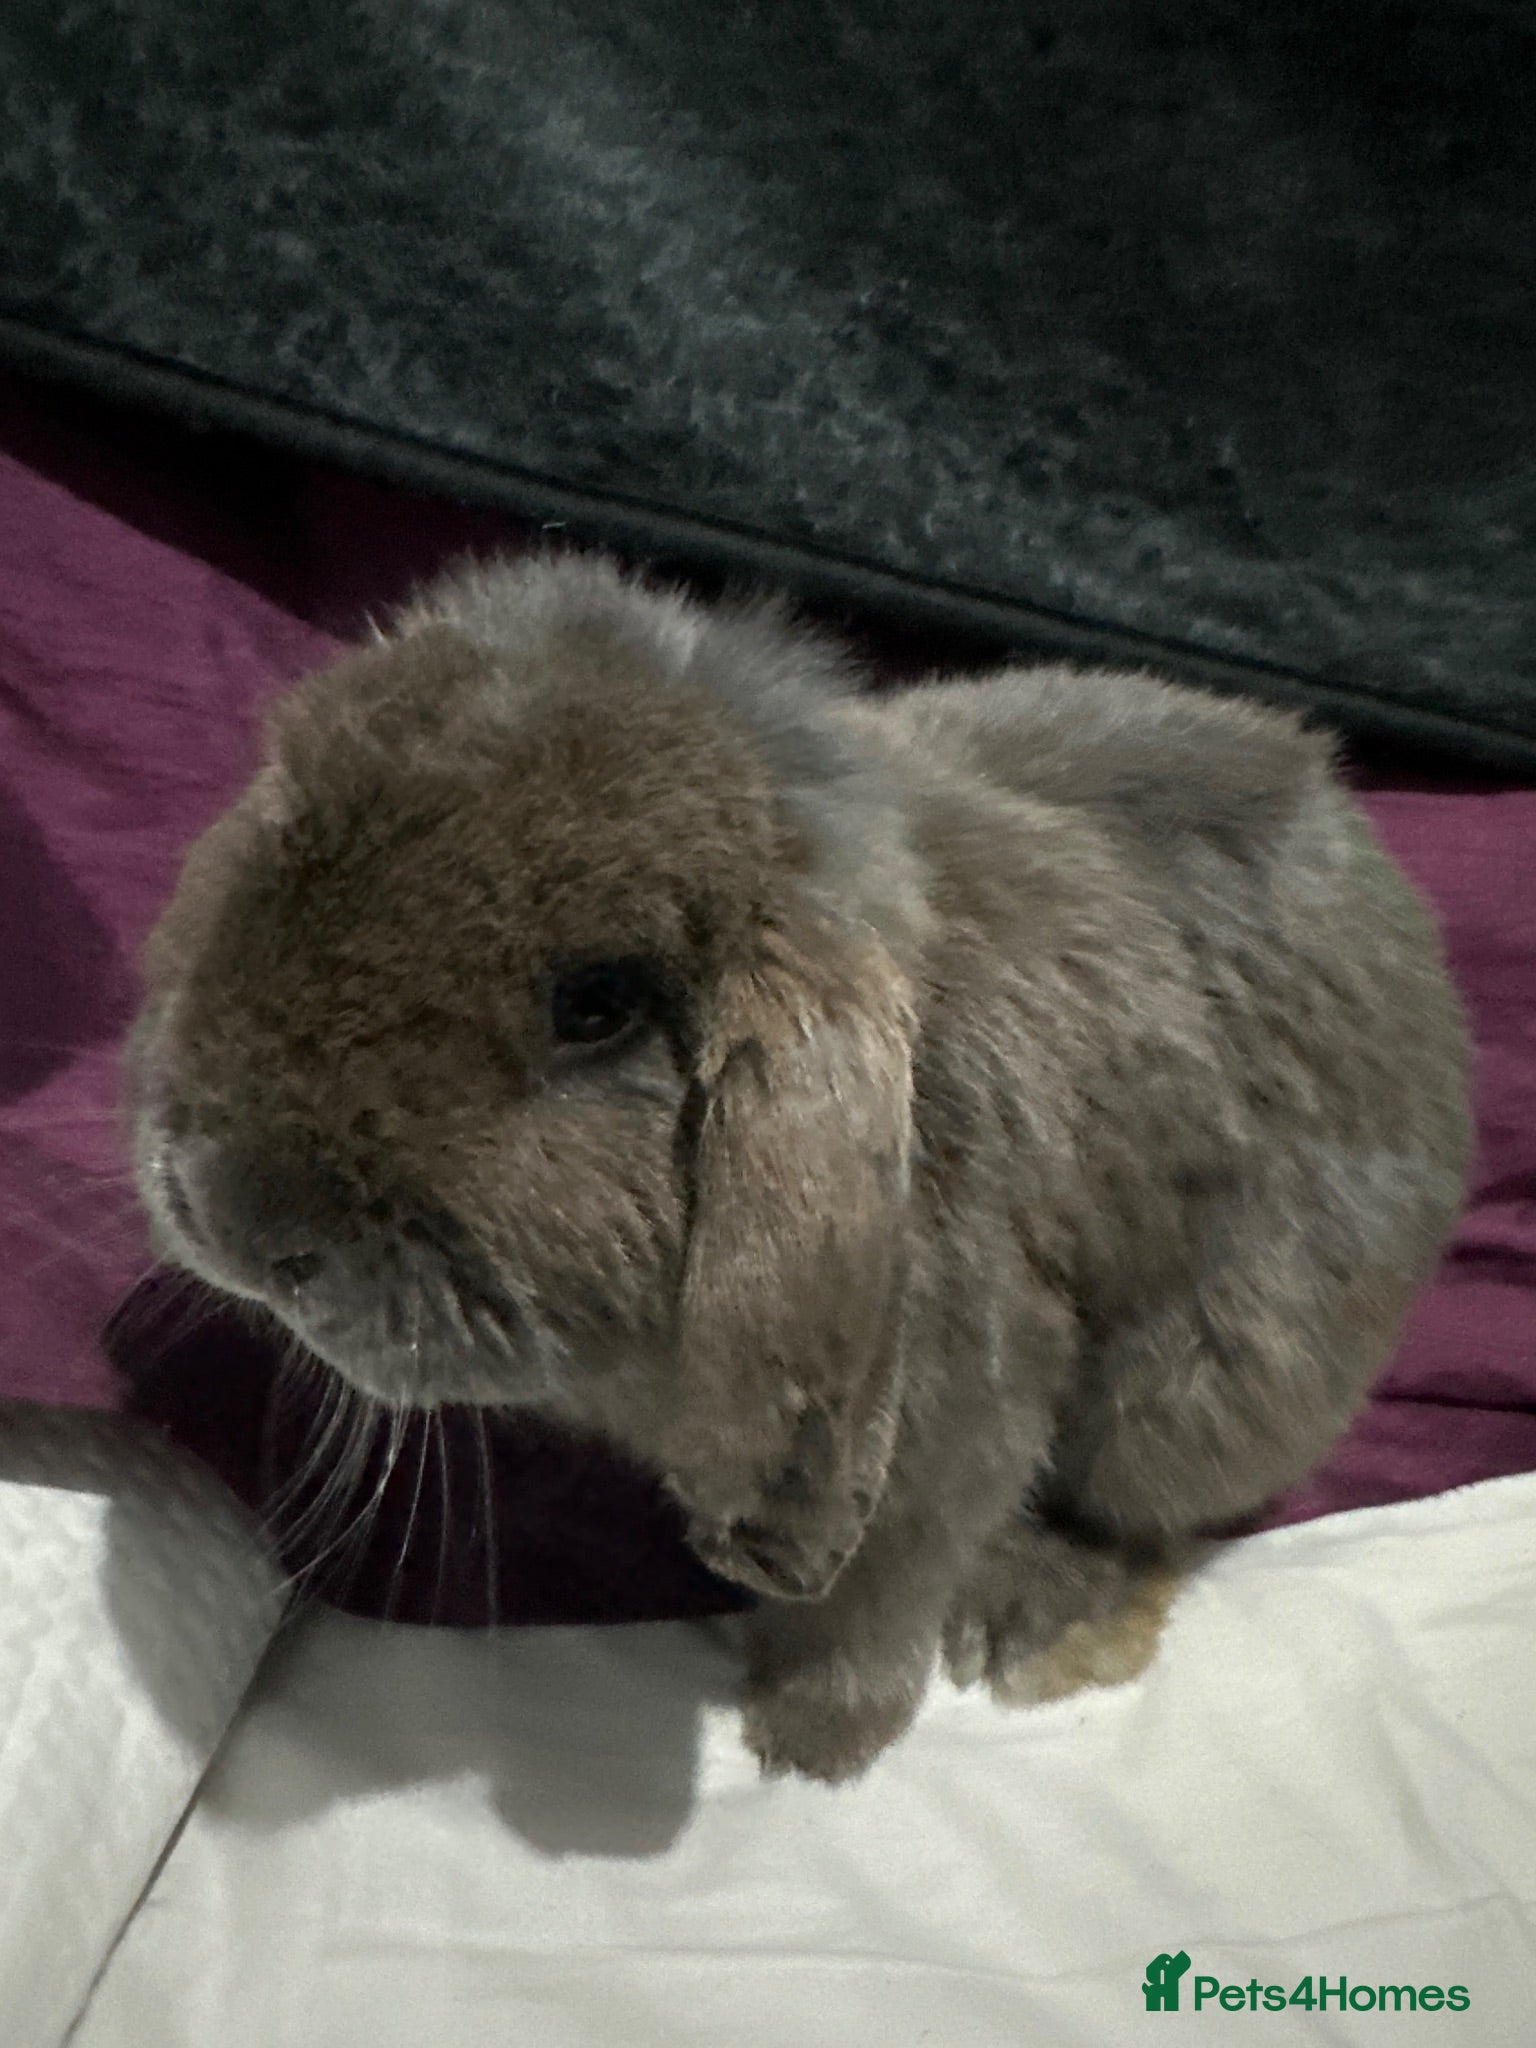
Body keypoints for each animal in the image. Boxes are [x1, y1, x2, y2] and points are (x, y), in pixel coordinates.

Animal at [126, 551, 1472, 1783]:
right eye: (275, 830)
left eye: (596, 1004)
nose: (231, 1215)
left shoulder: (956, 1425)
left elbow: (882, 1588)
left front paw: (809, 1738)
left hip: (1206, 1387)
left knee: (1148, 1513)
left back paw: (1034, 1619)